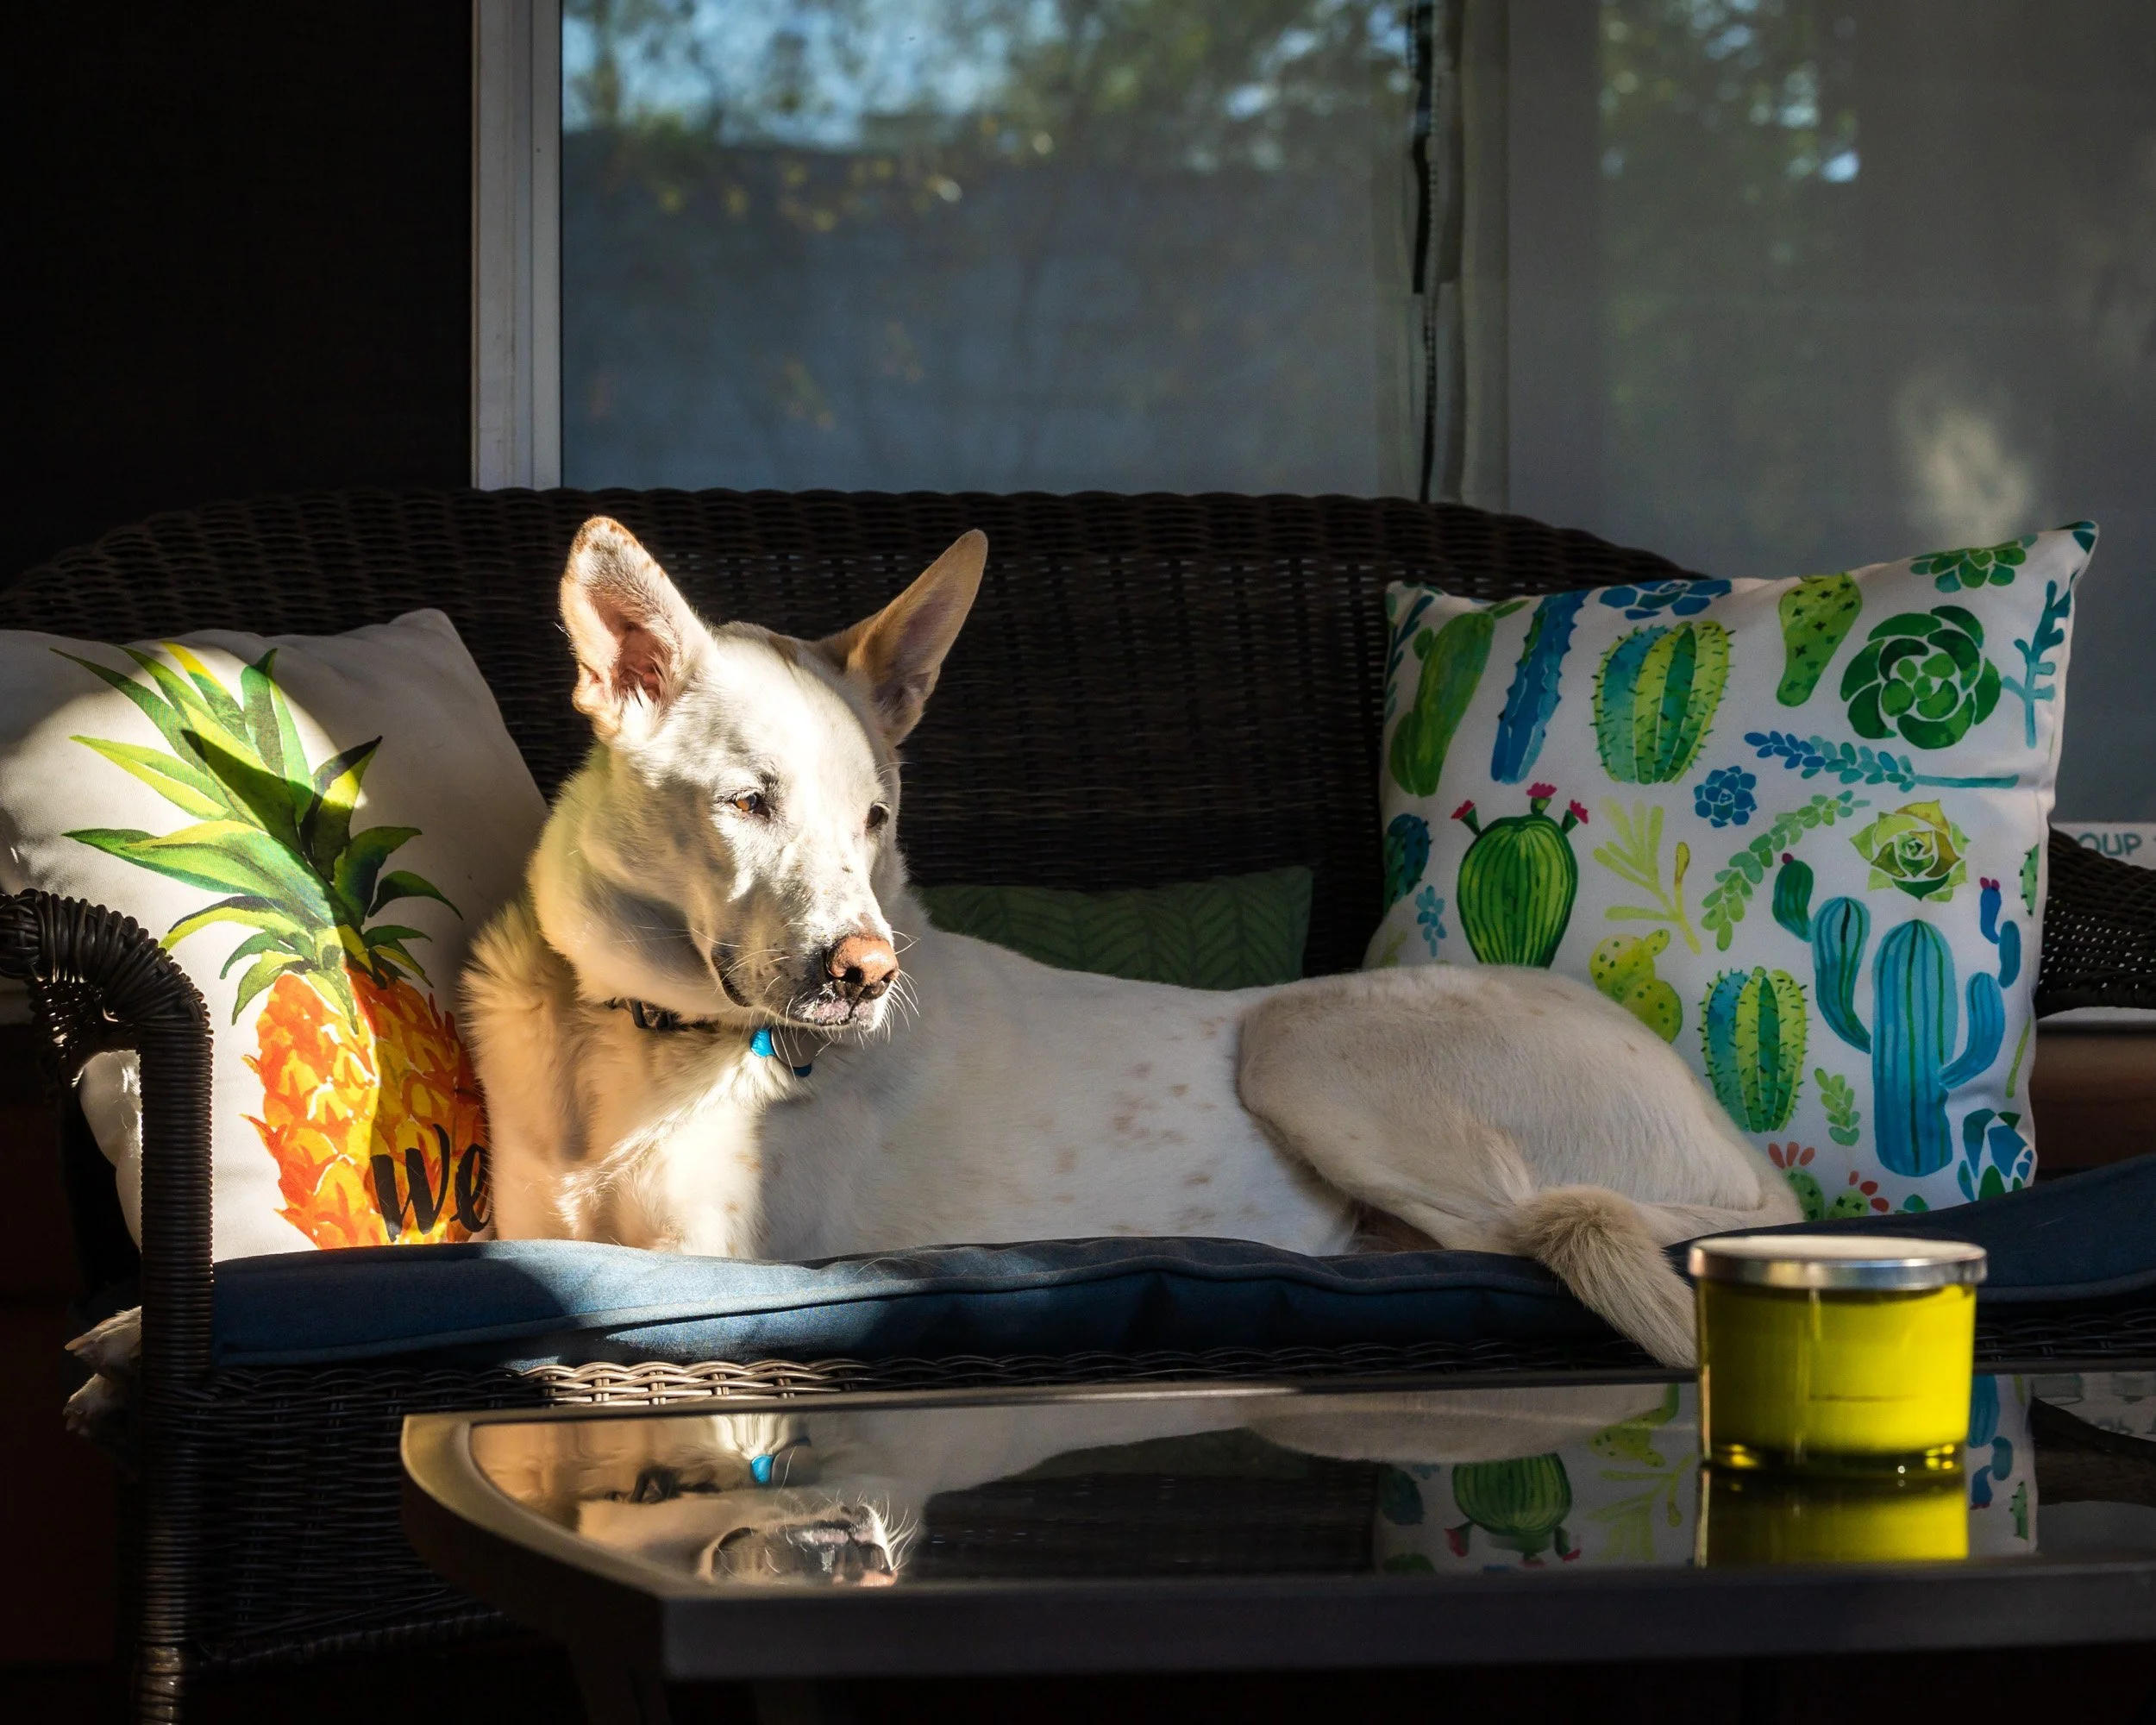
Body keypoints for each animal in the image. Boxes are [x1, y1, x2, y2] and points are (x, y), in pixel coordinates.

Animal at [461, 517, 1799, 1370]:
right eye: (749, 802)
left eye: (874, 820)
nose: (868, 973)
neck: (645, 1041)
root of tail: (1750, 1168)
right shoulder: (535, 1236)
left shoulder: (722, 1259)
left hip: (1301, 1041)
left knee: (1507, 1239)